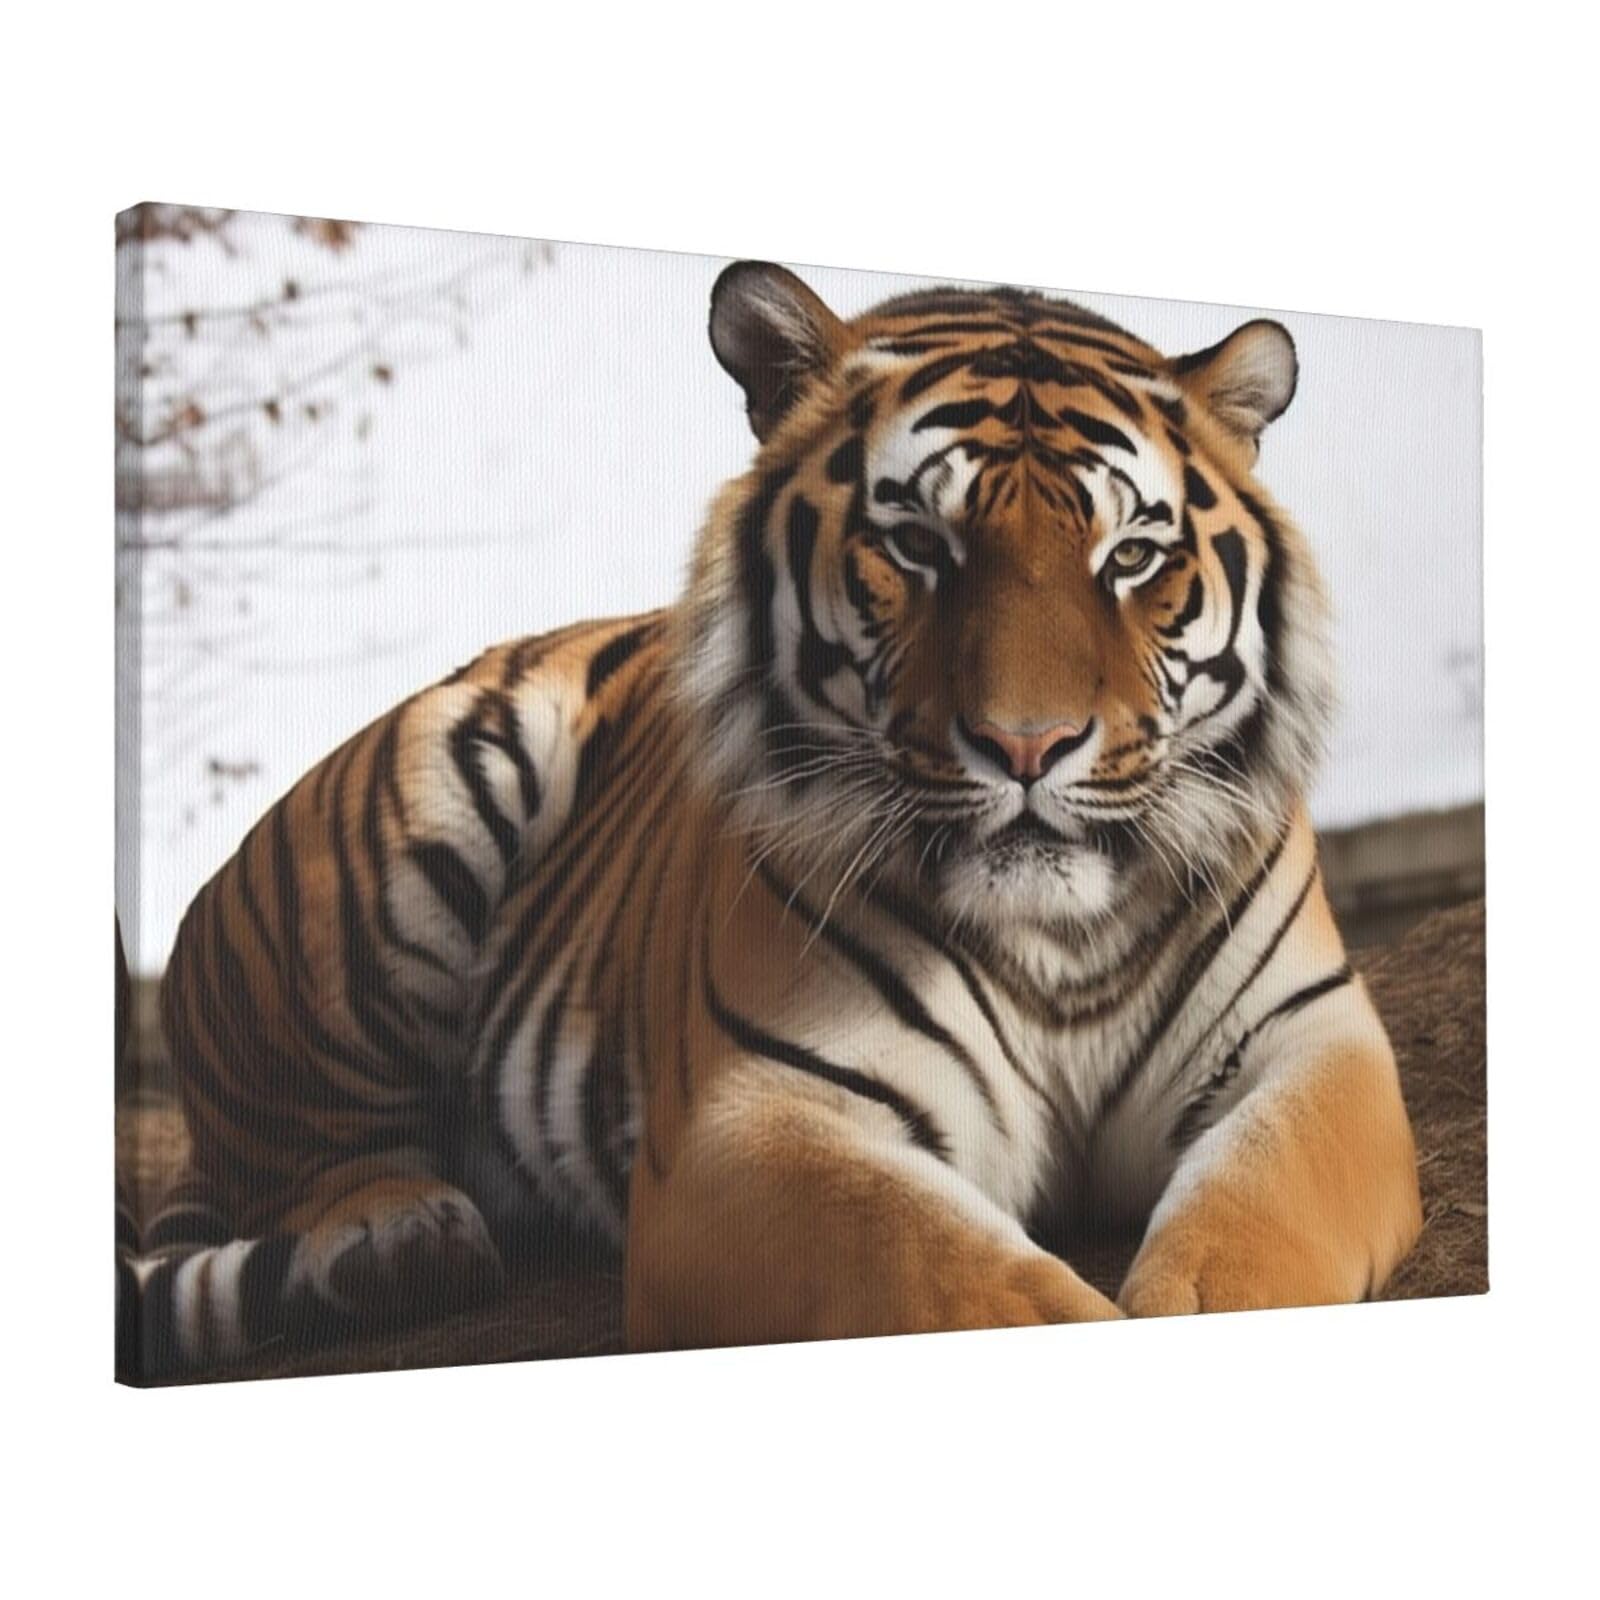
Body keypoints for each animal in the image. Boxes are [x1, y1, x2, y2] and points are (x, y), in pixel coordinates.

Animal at [118, 261, 1423, 1378]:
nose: (1026, 746)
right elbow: (945, 1269)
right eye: (917, 543)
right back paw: (398, 1237)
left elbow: (1251, 1226)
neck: (1061, 945)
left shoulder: (1310, 1046)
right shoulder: (752, 1120)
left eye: (1133, 557)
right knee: (314, 1150)